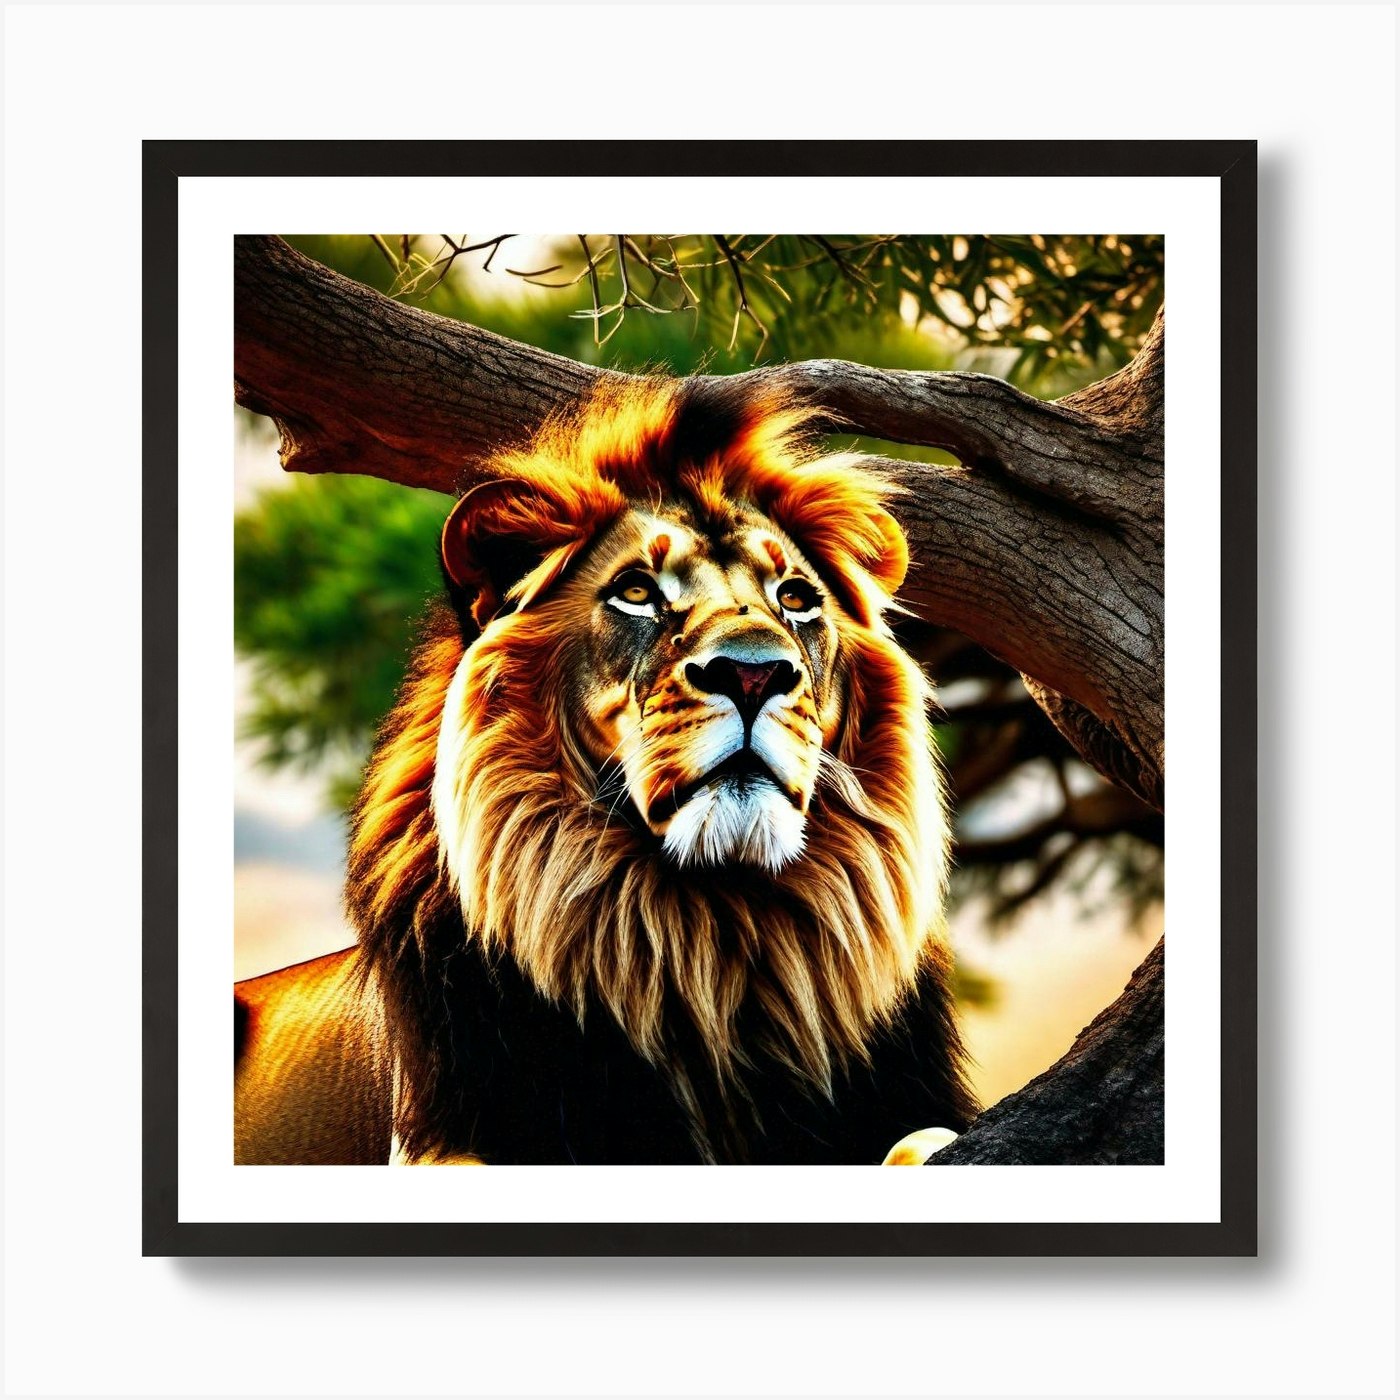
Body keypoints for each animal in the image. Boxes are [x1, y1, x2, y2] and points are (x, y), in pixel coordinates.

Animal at [235, 378, 977, 1165]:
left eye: (796, 599)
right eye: (638, 592)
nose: (753, 674)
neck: (714, 937)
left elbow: (923, 1136)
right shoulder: (439, 1139)